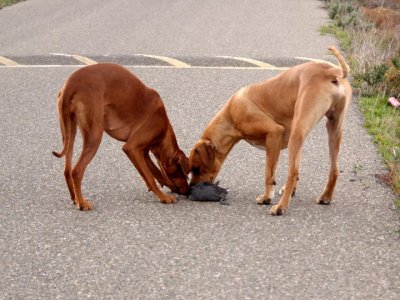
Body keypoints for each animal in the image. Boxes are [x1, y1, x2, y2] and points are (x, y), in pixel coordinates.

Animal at [53, 63, 189, 210]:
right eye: (185, 174)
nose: (188, 191)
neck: (163, 129)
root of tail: (70, 84)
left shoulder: (143, 152)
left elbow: (154, 173)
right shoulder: (132, 147)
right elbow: (150, 176)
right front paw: (163, 197)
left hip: (69, 132)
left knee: (67, 170)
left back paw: (75, 199)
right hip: (94, 135)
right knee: (76, 171)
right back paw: (82, 204)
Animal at [189, 46, 352, 216]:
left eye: (196, 168)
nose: (190, 189)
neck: (231, 114)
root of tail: (331, 71)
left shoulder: (274, 135)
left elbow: (269, 174)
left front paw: (266, 197)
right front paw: (288, 191)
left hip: (297, 133)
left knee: (292, 173)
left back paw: (280, 207)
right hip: (332, 129)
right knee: (334, 170)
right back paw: (325, 196)